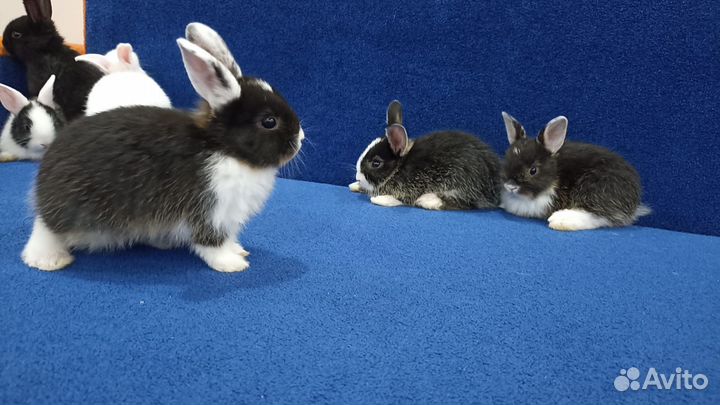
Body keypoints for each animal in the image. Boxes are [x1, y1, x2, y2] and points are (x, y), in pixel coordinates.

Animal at [21, 22, 304, 273]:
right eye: (269, 122)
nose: (300, 138)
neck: (223, 149)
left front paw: (239, 251)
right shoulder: (211, 212)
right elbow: (211, 244)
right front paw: (232, 264)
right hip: (68, 209)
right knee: (45, 230)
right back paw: (48, 260)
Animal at [349, 100, 501, 210]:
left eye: (376, 163)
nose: (357, 177)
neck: (399, 167)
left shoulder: (409, 188)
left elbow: (398, 199)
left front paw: (379, 199)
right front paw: (354, 186)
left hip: (464, 181)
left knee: (466, 202)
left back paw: (427, 200)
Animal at [500, 112, 650, 231]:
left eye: (533, 170)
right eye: (506, 161)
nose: (510, 186)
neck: (555, 177)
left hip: (595, 189)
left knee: (600, 215)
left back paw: (561, 220)